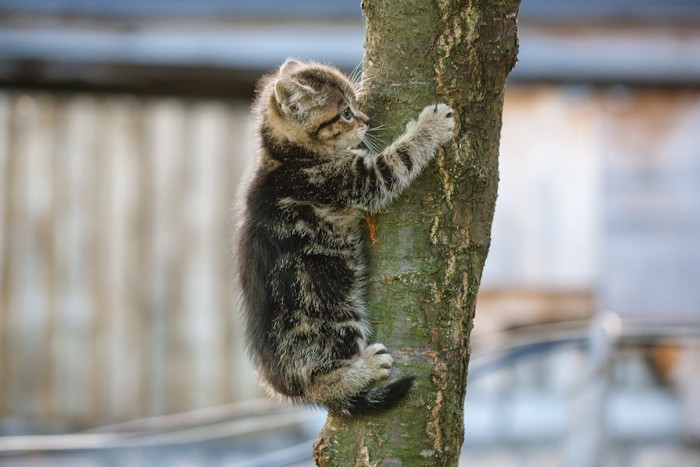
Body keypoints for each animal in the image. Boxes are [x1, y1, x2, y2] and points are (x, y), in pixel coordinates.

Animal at [232, 59, 456, 416]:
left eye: (356, 105)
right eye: (346, 113)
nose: (365, 120)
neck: (289, 158)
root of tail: (284, 386)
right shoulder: (357, 181)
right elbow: (399, 159)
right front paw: (430, 126)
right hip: (333, 313)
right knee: (323, 380)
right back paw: (361, 370)